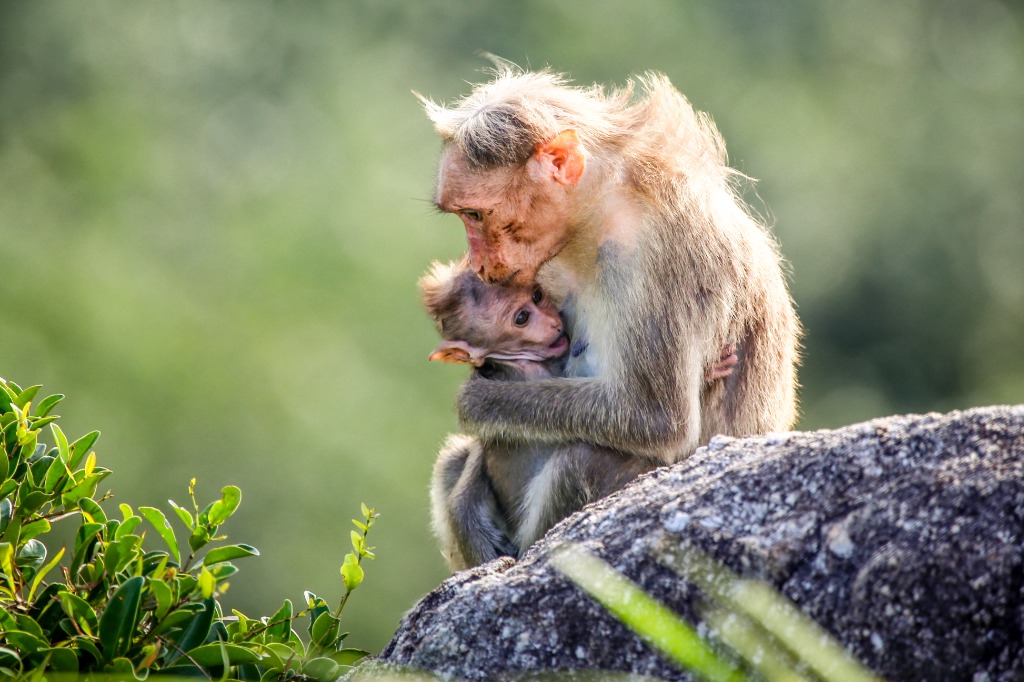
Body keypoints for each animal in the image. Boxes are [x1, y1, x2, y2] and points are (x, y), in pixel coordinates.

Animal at [420, 62, 799, 467]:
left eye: (474, 214)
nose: (476, 261)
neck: (600, 211)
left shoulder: (654, 256)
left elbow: (656, 420)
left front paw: (477, 399)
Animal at [420, 257, 738, 569]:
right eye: (521, 318)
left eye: (537, 295)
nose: (553, 321)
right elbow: (654, 421)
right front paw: (476, 402)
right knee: (581, 459)